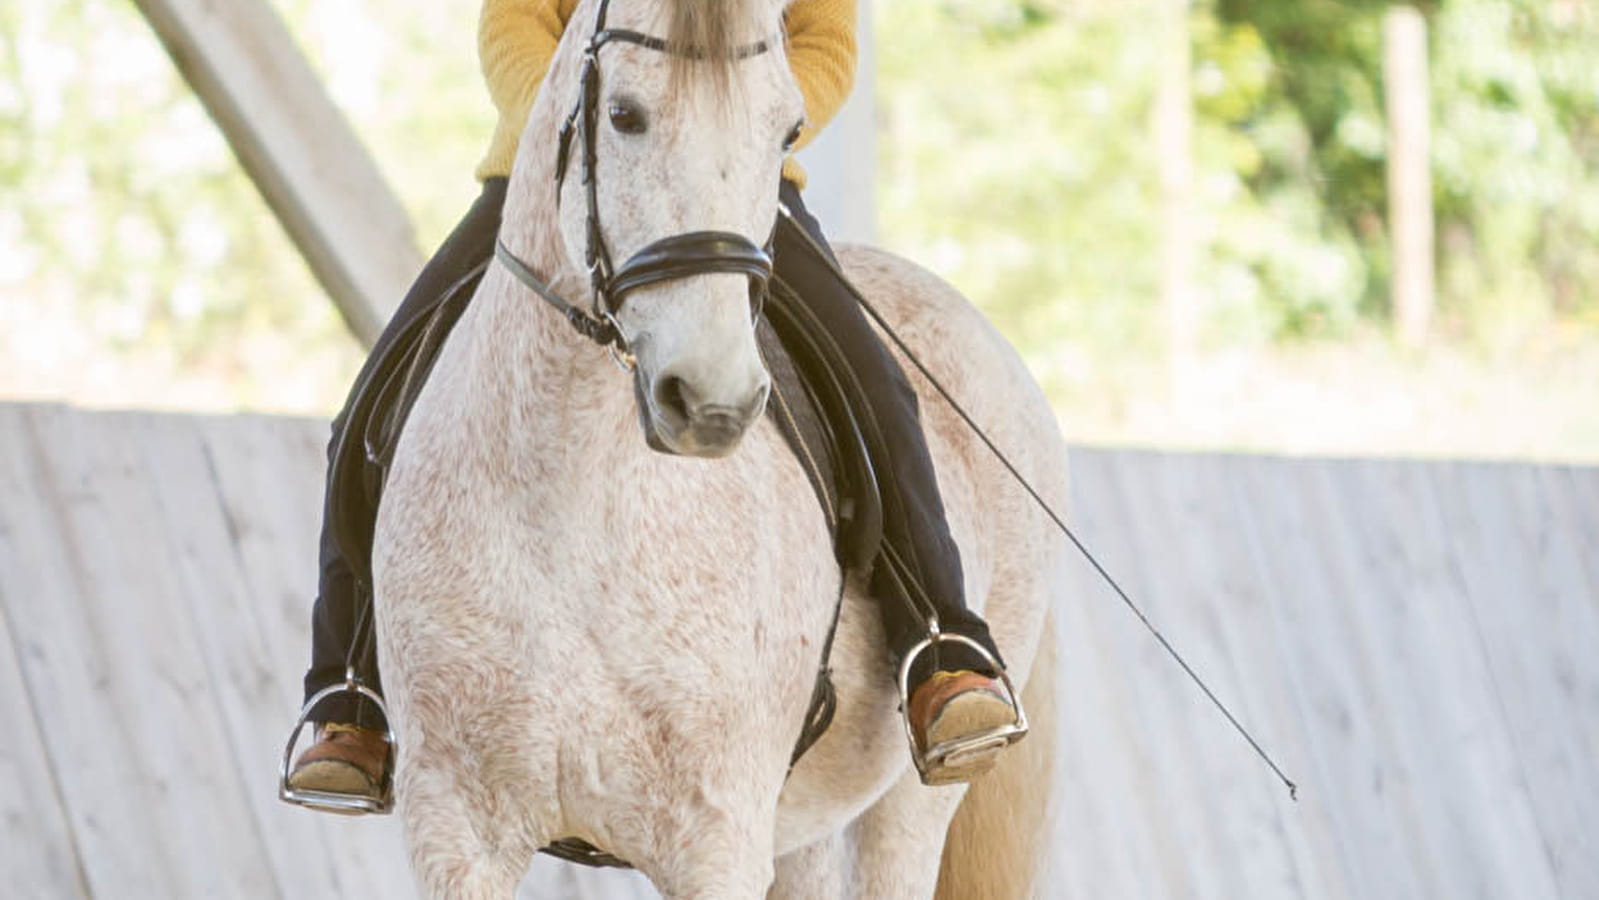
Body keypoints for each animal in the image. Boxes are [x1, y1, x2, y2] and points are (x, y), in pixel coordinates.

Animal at [370, 0, 1070, 896]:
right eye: (623, 114)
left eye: (786, 130)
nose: (710, 400)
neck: (569, 502)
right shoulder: (457, 830)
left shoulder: (715, 837)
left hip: (910, 801)